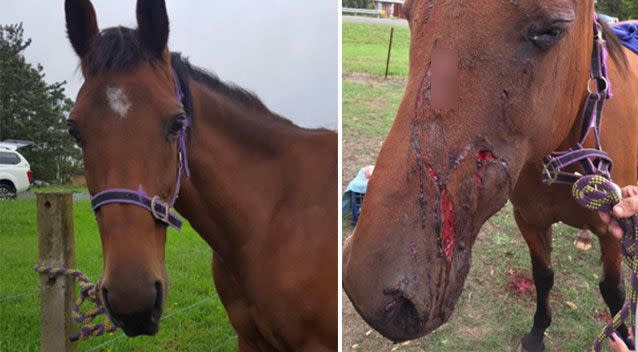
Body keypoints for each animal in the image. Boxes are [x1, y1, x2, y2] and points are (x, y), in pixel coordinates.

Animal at [344, 1, 638, 350]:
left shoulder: (612, 232)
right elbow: (543, 275)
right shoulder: (530, 220)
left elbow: (614, 294)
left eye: (551, 31)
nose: (370, 294)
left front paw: (624, 337)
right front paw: (537, 332)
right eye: (408, 15)